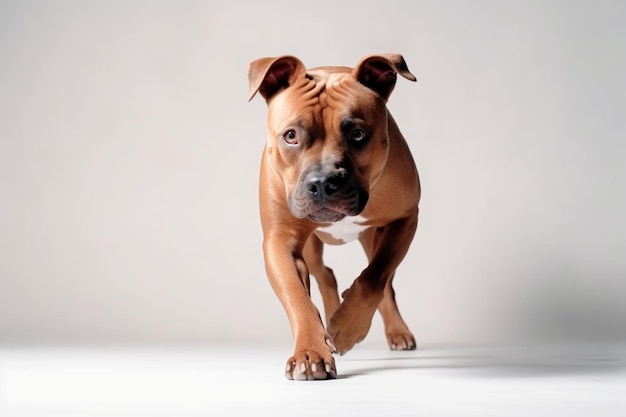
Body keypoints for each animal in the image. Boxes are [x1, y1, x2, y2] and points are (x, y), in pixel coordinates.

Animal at [249, 53, 420, 378]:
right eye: (291, 136)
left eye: (357, 134)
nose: (322, 183)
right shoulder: (279, 241)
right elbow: (297, 296)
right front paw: (310, 352)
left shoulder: (405, 218)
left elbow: (374, 278)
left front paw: (346, 326)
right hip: (312, 249)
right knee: (324, 274)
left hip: (372, 237)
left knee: (385, 284)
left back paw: (395, 332)